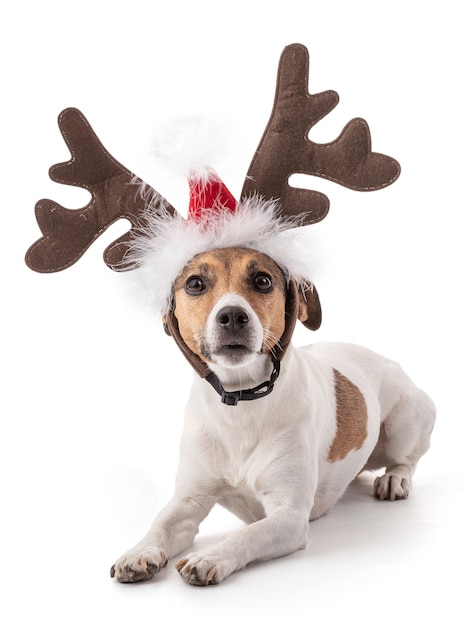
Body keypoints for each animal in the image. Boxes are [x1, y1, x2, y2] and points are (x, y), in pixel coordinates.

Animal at [109, 245, 436, 584]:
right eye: (195, 283)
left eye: (263, 281)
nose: (232, 316)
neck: (241, 402)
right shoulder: (189, 500)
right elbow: (161, 524)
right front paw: (138, 552)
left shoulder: (289, 515)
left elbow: (247, 534)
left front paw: (211, 556)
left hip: (404, 422)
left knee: (407, 459)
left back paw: (394, 480)